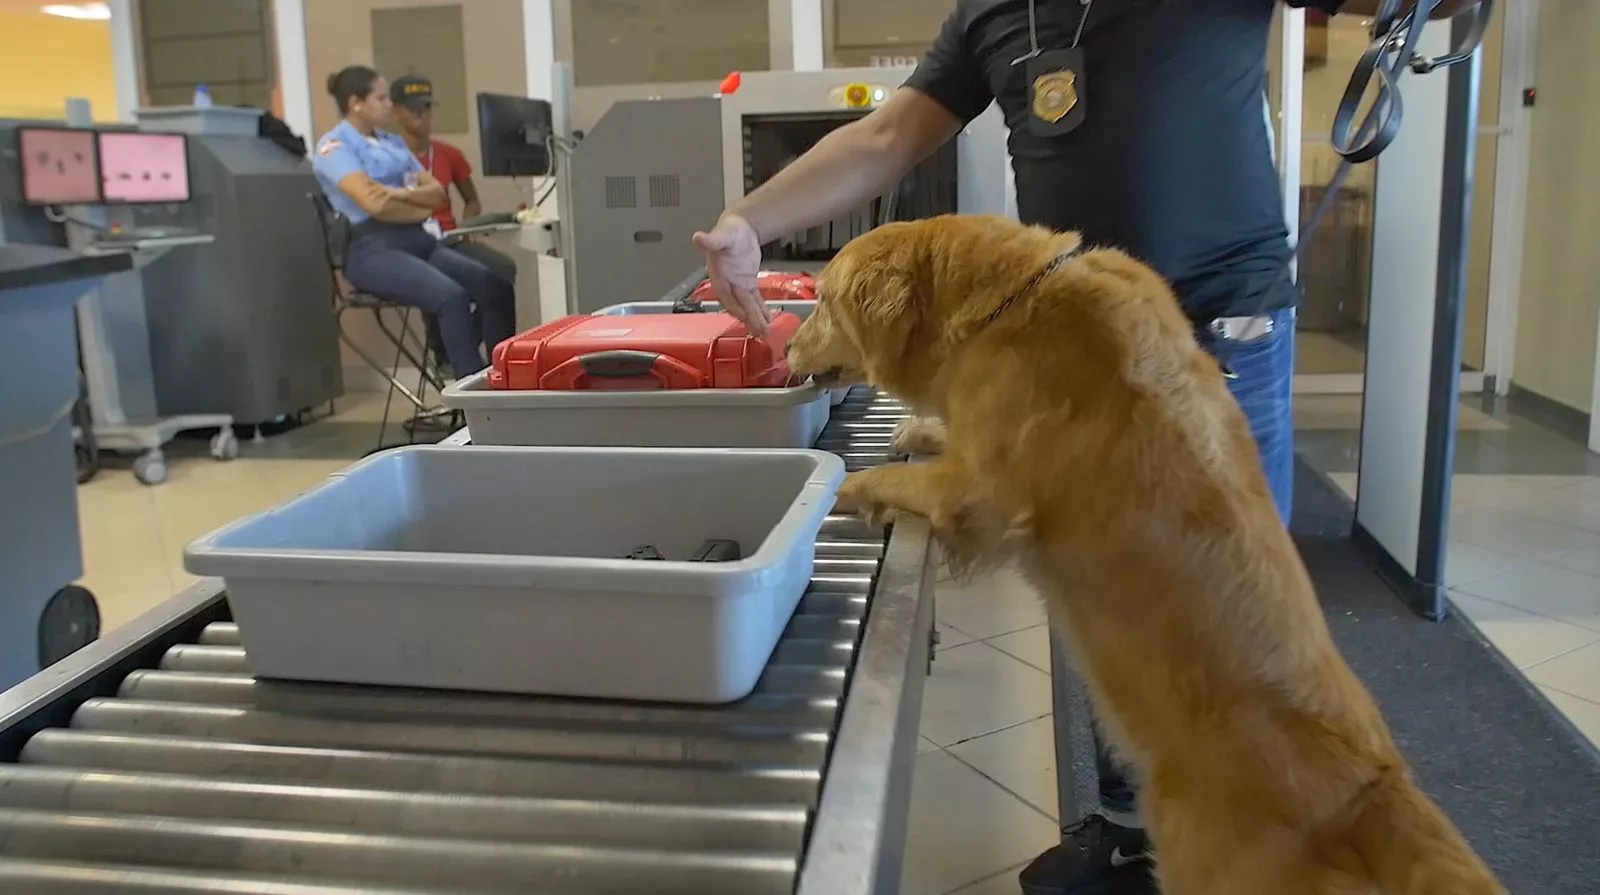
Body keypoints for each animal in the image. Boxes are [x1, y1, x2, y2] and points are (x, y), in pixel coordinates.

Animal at [793, 216, 1504, 895]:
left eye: (821, 300)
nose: (790, 346)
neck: (1006, 302)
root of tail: (1372, 786)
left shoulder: (982, 493)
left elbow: (908, 482)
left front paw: (849, 487)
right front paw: (918, 429)